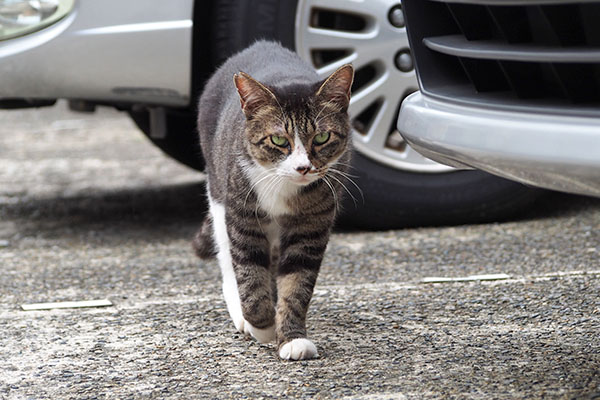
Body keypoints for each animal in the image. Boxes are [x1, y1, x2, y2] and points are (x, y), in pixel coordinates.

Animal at [192, 40, 354, 360]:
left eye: (322, 138)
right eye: (279, 140)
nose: (303, 167)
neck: (284, 187)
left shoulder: (312, 225)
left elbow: (296, 282)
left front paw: (291, 337)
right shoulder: (242, 215)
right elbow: (249, 272)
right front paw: (262, 325)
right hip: (218, 192)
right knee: (228, 257)